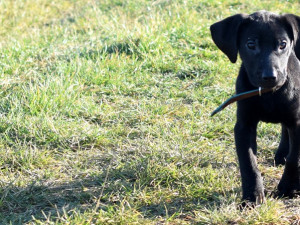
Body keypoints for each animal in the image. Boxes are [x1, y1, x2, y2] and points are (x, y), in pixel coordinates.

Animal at [210, 11, 300, 204]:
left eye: (283, 44)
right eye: (251, 44)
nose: (270, 77)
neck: (268, 94)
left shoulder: (298, 122)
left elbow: (294, 158)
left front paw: (288, 188)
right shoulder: (244, 126)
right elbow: (249, 163)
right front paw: (253, 196)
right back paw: (282, 153)